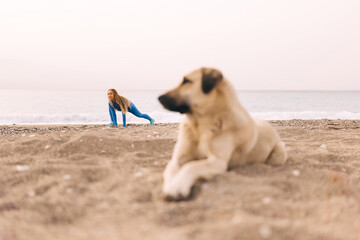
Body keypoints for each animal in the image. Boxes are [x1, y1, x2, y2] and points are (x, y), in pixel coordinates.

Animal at [158, 67, 286, 201]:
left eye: (186, 81)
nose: (159, 98)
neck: (201, 125)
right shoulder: (178, 158)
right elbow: (171, 170)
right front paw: (172, 186)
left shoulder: (217, 161)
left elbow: (191, 166)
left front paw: (177, 187)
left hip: (277, 156)